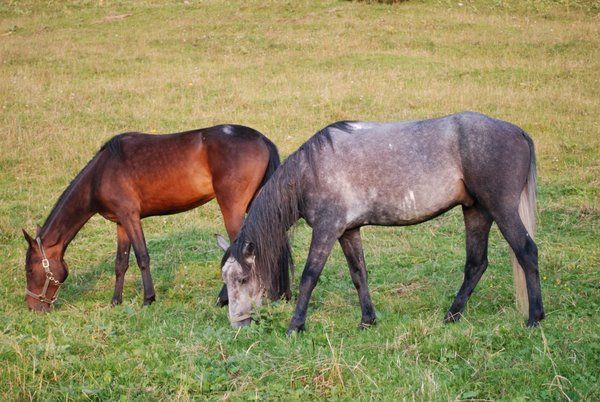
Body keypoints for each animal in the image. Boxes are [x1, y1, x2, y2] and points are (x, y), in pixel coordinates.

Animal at [22, 124, 291, 312]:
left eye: (30, 269)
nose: (33, 306)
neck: (101, 173)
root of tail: (262, 140)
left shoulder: (131, 217)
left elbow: (142, 257)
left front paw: (148, 298)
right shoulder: (121, 222)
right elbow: (121, 262)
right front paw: (116, 300)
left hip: (232, 209)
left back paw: (224, 298)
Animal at [218, 111, 545, 333]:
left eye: (243, 279)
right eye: (225, 279)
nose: (238, 324)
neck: (311, 168)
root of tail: (518, 132)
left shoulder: (327, 229)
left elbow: (310, 276)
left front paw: (295, 326)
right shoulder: (348, 231)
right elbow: (358, 274)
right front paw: (367, 320)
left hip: (501, 208)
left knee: (526, 252)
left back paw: (535, 318)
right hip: (476, 211)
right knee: (476, 264)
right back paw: (451, 316)